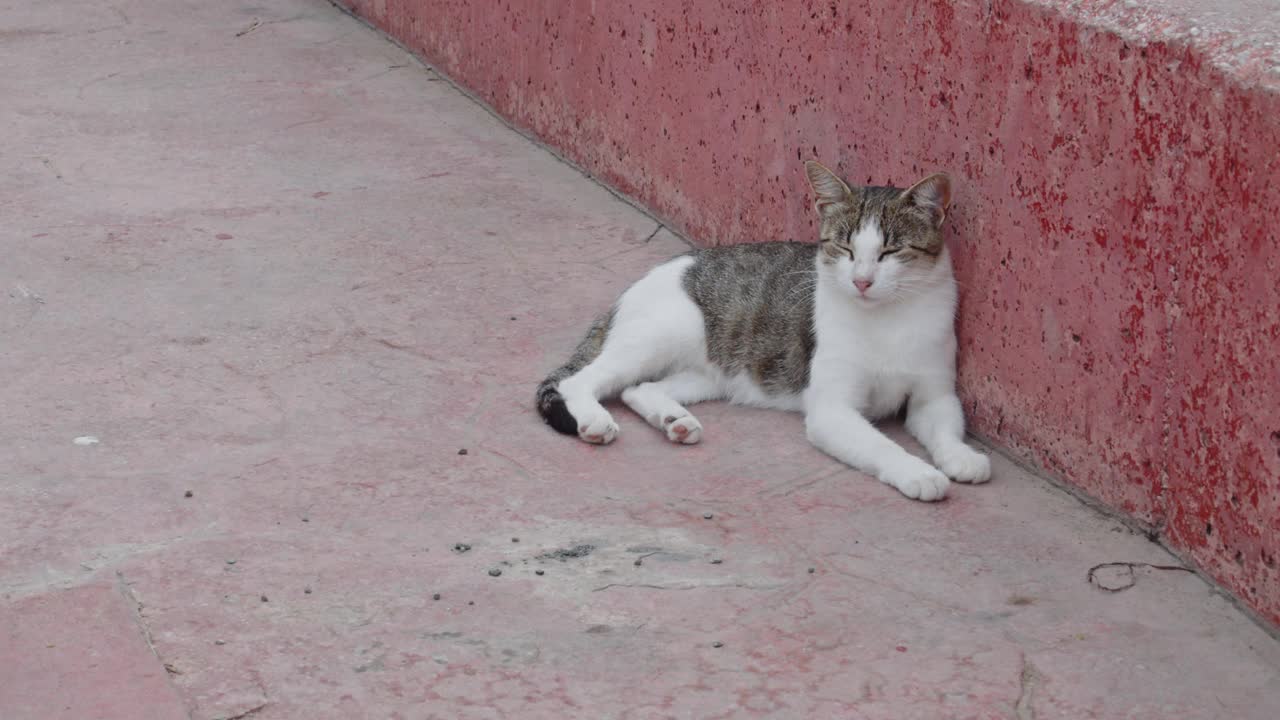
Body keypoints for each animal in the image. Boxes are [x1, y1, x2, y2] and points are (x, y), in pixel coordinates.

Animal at [532, 162, 988, 499]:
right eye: (845, 248)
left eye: (891, 251)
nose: (861, 281)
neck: (888, 317)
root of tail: (627, 292)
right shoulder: (832, 410)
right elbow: (880, 444)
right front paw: (918, 472)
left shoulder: (935, 393)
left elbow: (945, 424)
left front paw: (960, 456)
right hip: (661, 334)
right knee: (580, 380)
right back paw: (595, 420)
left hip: (712, 373)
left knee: (637, 388)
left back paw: (674, 420)